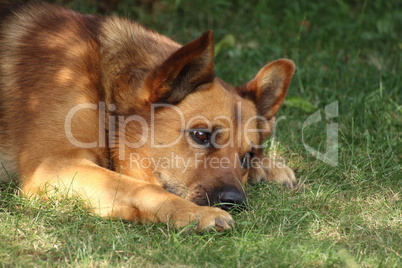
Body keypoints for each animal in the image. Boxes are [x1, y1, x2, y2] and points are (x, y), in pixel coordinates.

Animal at [0, 1, 296, 232]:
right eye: (201, 135)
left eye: (248, 156)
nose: (235, 201)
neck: (107, 90)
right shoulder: (52, 166)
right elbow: (140, 188)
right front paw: (196, 214)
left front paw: (268, 166)